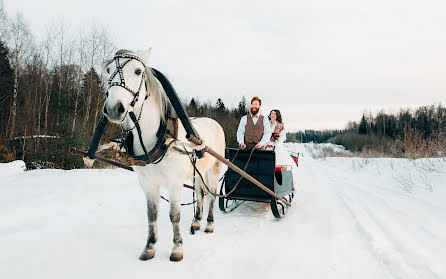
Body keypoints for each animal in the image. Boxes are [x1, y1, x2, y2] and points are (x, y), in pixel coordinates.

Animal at [97, 48, 225, 262]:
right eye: (108, 70)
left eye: (138, 71)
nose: (114, 108)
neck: (157, 141)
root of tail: (213, 122)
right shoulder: (147, 183)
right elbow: (152, 215)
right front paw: (149, 247)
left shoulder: (175, 182)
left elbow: (174, 216)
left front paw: (177, 248)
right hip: (198, 172)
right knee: (200, 193)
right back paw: (197, 222)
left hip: (214, 168)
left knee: (212, 196)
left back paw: (209, 224)